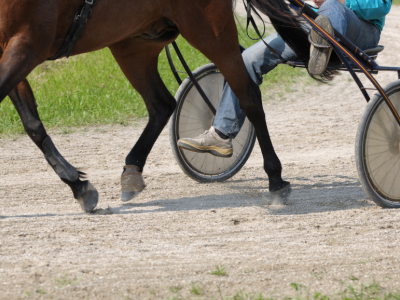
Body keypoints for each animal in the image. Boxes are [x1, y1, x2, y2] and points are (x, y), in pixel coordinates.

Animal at [0, 0, 310, 211]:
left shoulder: (28, 43)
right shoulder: (13, 47)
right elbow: (32, 124)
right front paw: (78, 184)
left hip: (209, 29)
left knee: (247, 96)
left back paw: (275, 180)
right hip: (133, 42)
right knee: (161, 104)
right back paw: (132, 170)